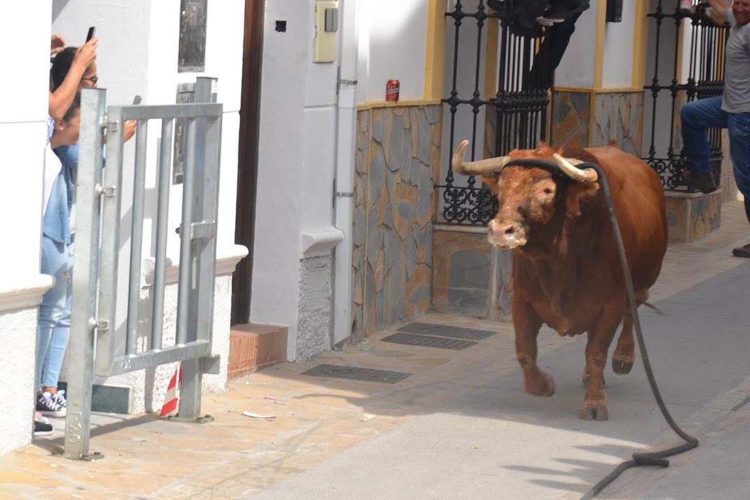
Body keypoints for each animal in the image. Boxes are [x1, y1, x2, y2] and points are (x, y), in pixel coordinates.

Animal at [452, 139, 668, 420]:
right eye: (502, 186)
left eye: (547, 190)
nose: (501, 230)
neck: (559, 259)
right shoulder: (523, 300)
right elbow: (525, 352)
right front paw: (543, 385)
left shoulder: (611, 303)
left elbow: (596, 353)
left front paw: (594, 403)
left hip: (644, 277)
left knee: (634, 307)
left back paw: (623, 356)